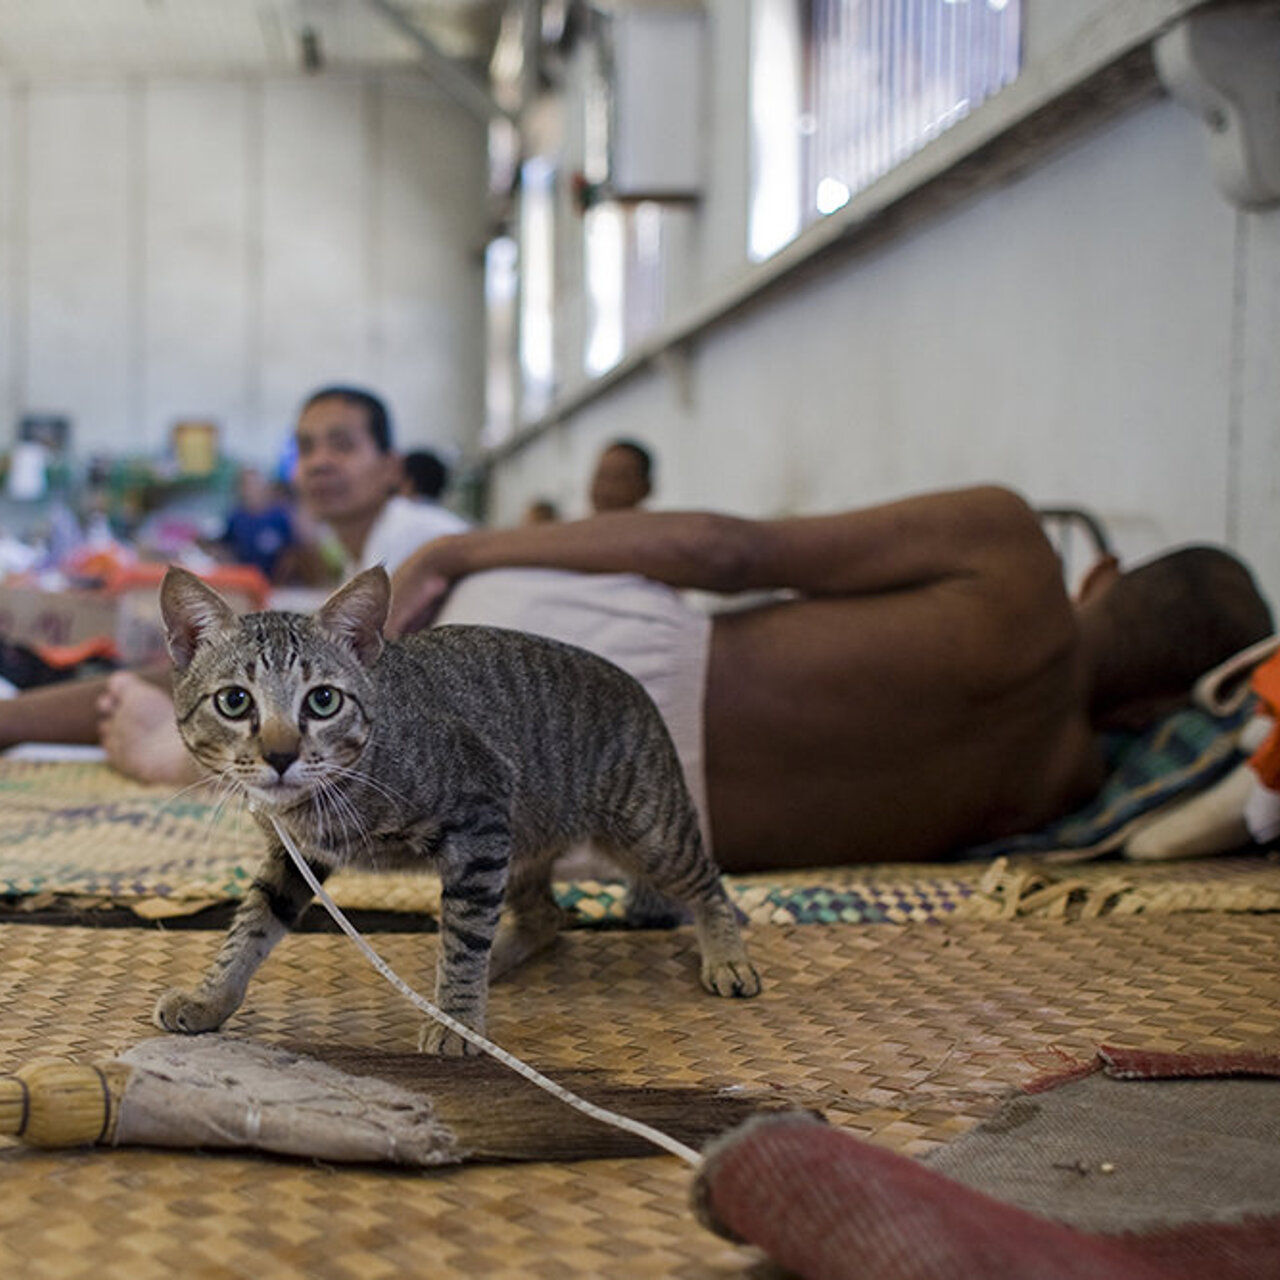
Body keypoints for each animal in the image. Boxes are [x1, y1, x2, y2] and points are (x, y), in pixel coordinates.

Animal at [151, 565, 757, 1054]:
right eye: (235, 701)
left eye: (323, 700)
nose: (280, 756)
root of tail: (640, 689)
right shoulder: (293, 855)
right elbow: (251, 926)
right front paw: (211, 997)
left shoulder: (479, 825)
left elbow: (464, 935)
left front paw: (458, 1017)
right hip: (524, 844)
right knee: (546, 915)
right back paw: (504, 954)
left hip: (648, 833)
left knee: (709, 882)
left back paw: (727, 956)